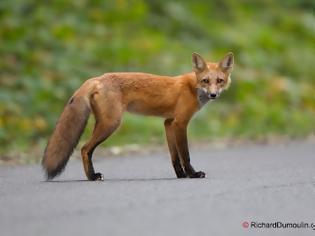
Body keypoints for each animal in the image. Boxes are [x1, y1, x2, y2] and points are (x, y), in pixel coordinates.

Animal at [42, 52, 235, 181]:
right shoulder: (180, 123)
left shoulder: (169, 122)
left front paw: (180, 175)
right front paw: (192, 174)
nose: (213, 95)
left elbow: (174, 156)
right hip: (111, 124)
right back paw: (92, 176)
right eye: (205, 81)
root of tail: (97, 78)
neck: (193, 87)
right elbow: (185, 154)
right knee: (84, 148)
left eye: (219, 81)